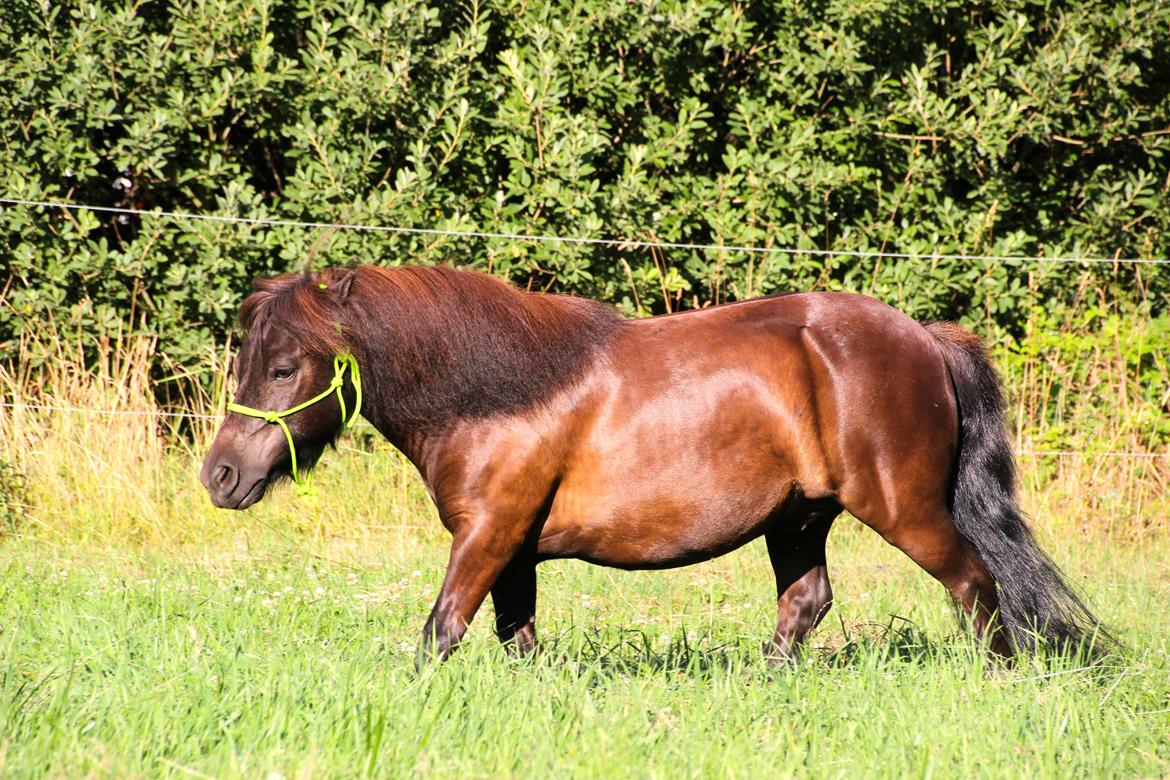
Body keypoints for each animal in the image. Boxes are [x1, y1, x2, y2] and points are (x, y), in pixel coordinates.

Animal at [201, 265, 1104, 668]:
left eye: (284, 367)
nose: (219, 476)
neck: (501, 395)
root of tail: (925, 338)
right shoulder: (515, 551)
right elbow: (517, 638)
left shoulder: (487, 535)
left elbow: (440, 631)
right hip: (799, 519)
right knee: (806, 603)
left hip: (905, 508)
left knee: (975, 584)